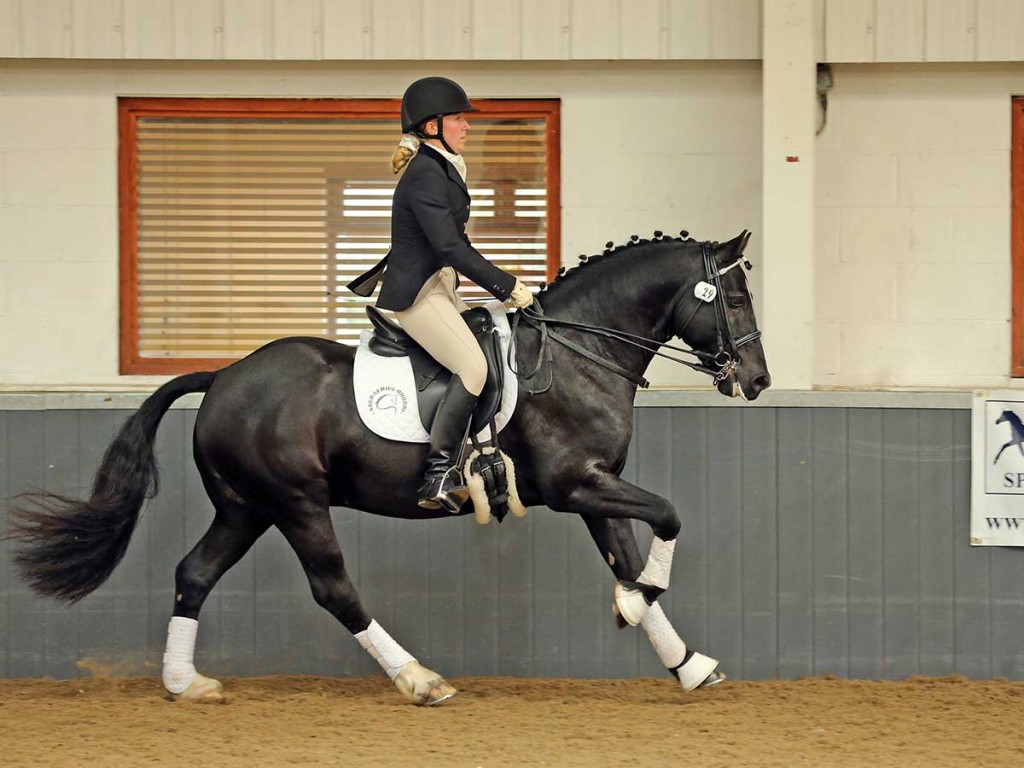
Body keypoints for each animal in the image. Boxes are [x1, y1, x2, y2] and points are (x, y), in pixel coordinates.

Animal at [9, 231, 770, 708]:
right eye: (735, 301)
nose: (759, 381)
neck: (579, 352)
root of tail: (224, 375)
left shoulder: (595, 485)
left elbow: (629, 561)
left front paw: (683, 660)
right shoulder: (575, 482)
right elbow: (668, 516)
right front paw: (642, 611)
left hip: (245, 507)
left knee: (193, 573)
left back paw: (183, 684)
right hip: (295, 504)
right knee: (334, 590)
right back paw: (420, 681)